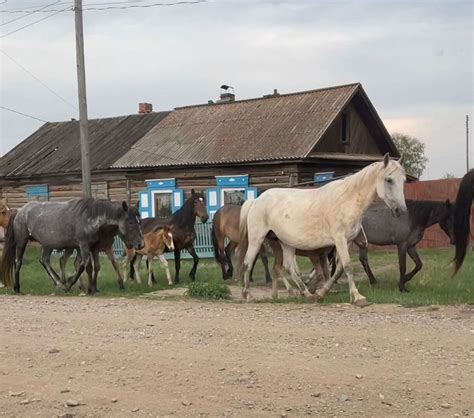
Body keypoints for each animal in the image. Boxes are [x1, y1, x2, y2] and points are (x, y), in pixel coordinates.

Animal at [0, 199, 144, 294]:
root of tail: (20, 211)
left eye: (139, 221)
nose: (141, 244)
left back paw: (59, 282)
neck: (91, 218)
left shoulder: (89, 248)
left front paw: (89, 288)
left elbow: (89, 266)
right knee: (18, 261)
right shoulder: (84, 245)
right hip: (22, 240)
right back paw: (17, 287)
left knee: (45, 260)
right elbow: (83, 265)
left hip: (48, 245)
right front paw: (71, 284)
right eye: (130, 222)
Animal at [239, 153, 406, 306]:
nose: (401, 211)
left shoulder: (347, 241)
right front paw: (358, 297)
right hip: (257, 239)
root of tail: (256, 200)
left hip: (285, 242)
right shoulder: (339, 239)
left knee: (288, 267)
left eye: (403, 180)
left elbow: (338, 270)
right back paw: (248, 295)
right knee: (247, 263)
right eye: (389, 180)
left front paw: (321, 293)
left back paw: (307, 294)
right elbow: (347, 266)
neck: (347, 200)